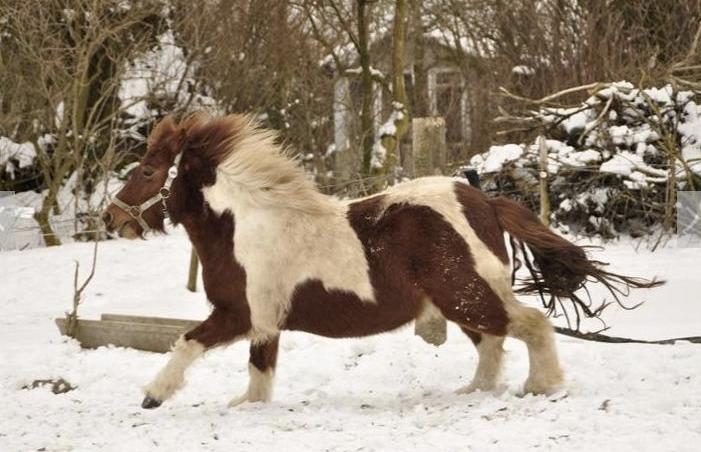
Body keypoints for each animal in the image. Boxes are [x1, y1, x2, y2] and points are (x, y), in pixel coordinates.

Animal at [102, 112, 656, 410]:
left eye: (148, 171)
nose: (111, 217)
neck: (244, 227)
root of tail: (482, 200)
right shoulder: (264, 323)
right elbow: (261, 371)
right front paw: (247, 405)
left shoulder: (239, 314)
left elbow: (186, 342)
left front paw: (154, 395)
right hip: (461, 300)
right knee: (492, 344)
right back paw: (473, 391)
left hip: (467, 295)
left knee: (531, 325)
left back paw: (541, 385)